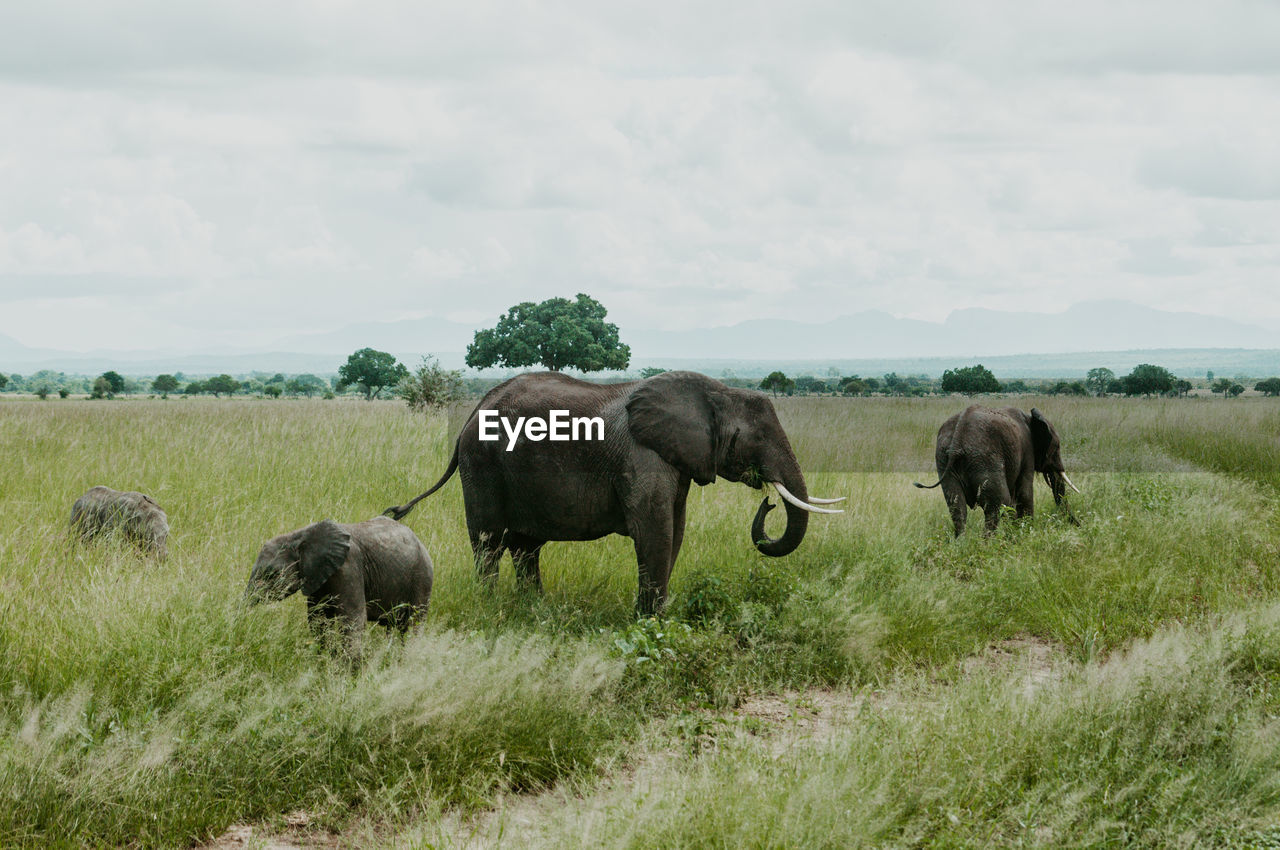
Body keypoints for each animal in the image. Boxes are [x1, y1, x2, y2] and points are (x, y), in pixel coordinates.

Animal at [244, 517, 435, 665]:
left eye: (271, 574)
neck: (299, 536)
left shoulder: (348, 568)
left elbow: (353, 619)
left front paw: (349, 671)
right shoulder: (316, 576)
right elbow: (318, 620)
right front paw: (324, 662)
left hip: (422, 578)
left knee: (414, 623)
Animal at [384, 368, 844, 614]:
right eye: (756, 438)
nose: (768, 499)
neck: (714, 390)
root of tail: (470, 411)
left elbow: (674, 531)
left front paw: (656, 616)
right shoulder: (642, 457)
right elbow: (654, 532)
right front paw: (649, 622)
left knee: (526, 547)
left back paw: (533, 608)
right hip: (481, 465)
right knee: (489, 543)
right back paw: (492, 607)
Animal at [911, 407, 1080, 537]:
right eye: (1057, 447)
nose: (1078, 526)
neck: (1030, 418)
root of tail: (958, 437)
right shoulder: (1027, 452)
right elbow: (1024, 493)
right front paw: (1027, 534)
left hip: (945, 460)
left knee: (957, 506)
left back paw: (961, 543)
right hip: (985, 460)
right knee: (997, 505)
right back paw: (992, 544)